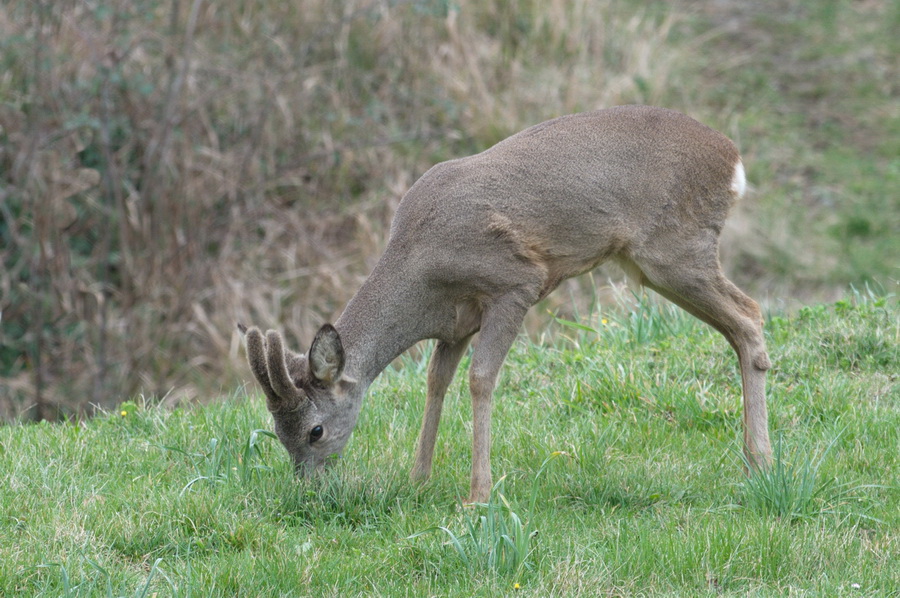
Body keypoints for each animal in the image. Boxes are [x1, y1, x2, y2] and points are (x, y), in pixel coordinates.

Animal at [239, 105, 772, 504]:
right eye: (277, 433)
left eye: (314, 431)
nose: (308, 490)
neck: (422, 266)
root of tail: (733, 159)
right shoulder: (455, 322)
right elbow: (435, 382)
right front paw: (418, 479)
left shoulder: (515, 283)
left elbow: (480, 380)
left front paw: (478, 495)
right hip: (657, 260)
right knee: (739, 324)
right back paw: (753, 460)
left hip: (674, 248)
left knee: (749, 314)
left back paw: (763, 462)